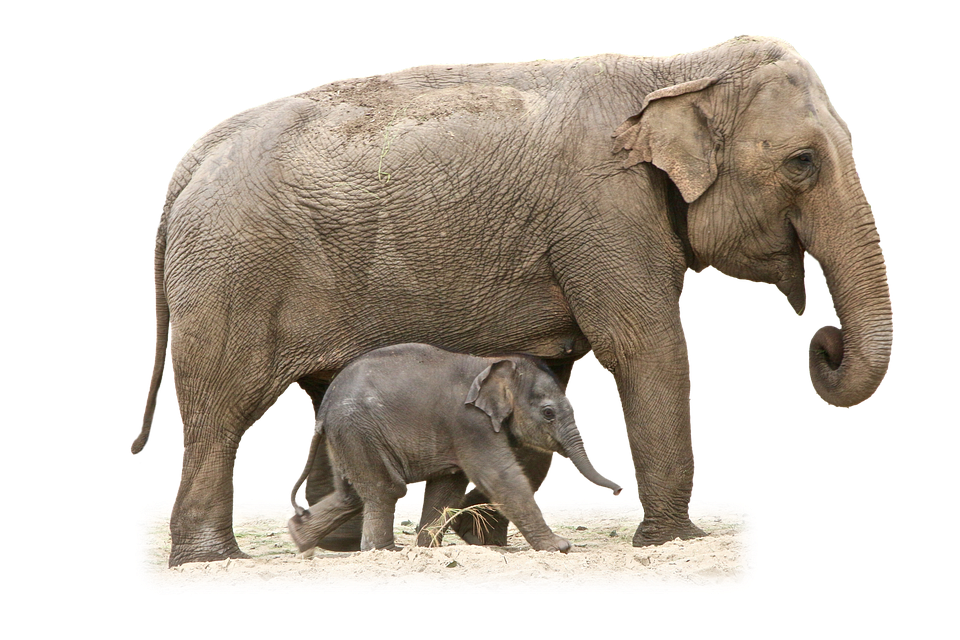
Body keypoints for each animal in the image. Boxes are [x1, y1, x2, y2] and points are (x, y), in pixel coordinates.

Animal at [286, 343, 624, 554]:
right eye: (549, 413)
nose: (620, 490)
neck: (493, 364)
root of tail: (324, 411)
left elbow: (447, 487)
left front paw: (427, 550)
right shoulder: (469, 424)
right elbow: (500, 477)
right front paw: (560, 547)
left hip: (348, 436)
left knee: (353, 494)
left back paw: (299, 539)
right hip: (358, 430)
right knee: (386, 489)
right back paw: (383, 551)